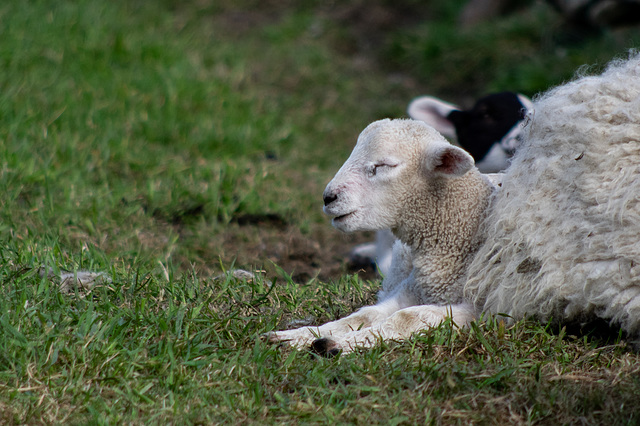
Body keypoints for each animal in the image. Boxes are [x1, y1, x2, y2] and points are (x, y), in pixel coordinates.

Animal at [270, 52, 640, 352]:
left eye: (385, 165)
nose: (328, 197)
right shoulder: (410, 290)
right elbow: (363, 315)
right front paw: (302, 335)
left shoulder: (484, 310)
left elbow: (406, 319)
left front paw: (337, 344)